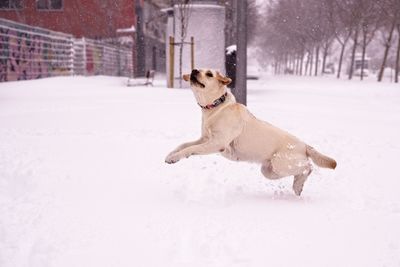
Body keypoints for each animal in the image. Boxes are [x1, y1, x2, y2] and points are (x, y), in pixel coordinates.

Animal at [164, 68, 336, 196]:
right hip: (268, 170)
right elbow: (184, 144)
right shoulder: (205, 138)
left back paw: (299, 184)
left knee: (309, 166)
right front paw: (170, 155)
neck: (216, 107)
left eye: (209, 74)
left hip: (280, 164)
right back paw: (298, 186)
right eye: (197, 68)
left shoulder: (217, 143)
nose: (193, 70)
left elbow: (191, 149)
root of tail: (305, 145)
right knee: (299, 172)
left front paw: (175, 157)